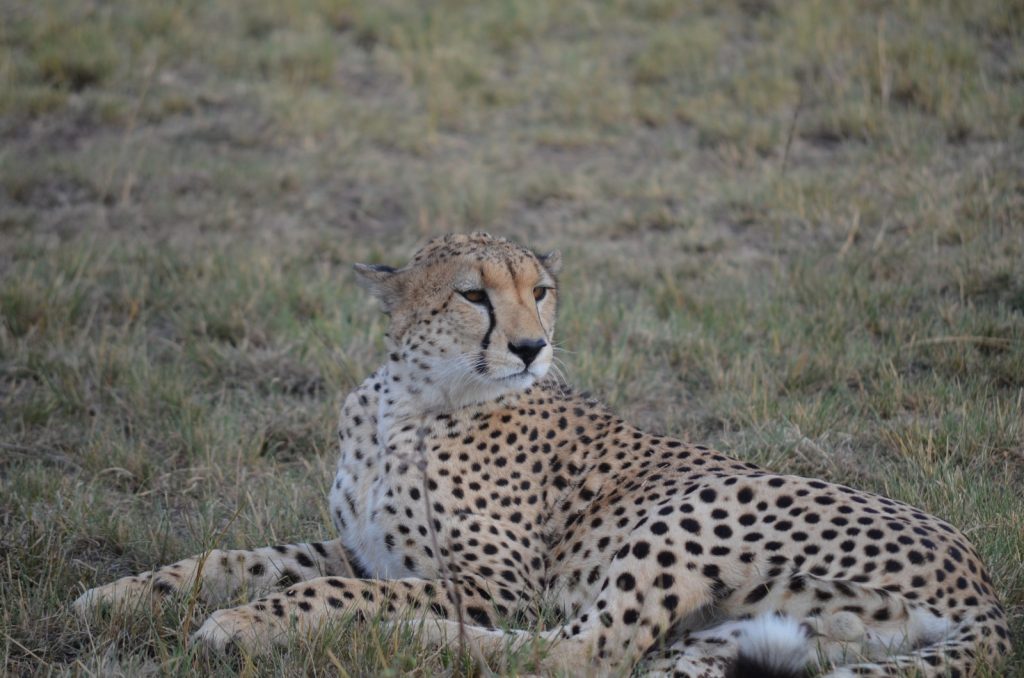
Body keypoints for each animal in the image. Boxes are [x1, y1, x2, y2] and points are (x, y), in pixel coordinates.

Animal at [75, 232, 1011, 677]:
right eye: (472, 295)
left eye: (542, 290)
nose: (530, 347)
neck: (412, 400)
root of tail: (988, 586)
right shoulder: (363, 546)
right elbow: (238, 558)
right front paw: (114, 597)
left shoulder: (494, 584)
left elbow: (324, 592)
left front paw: (239, 627)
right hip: (747, 634)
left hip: (695, 507)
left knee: (579, 653)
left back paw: (416, 638)